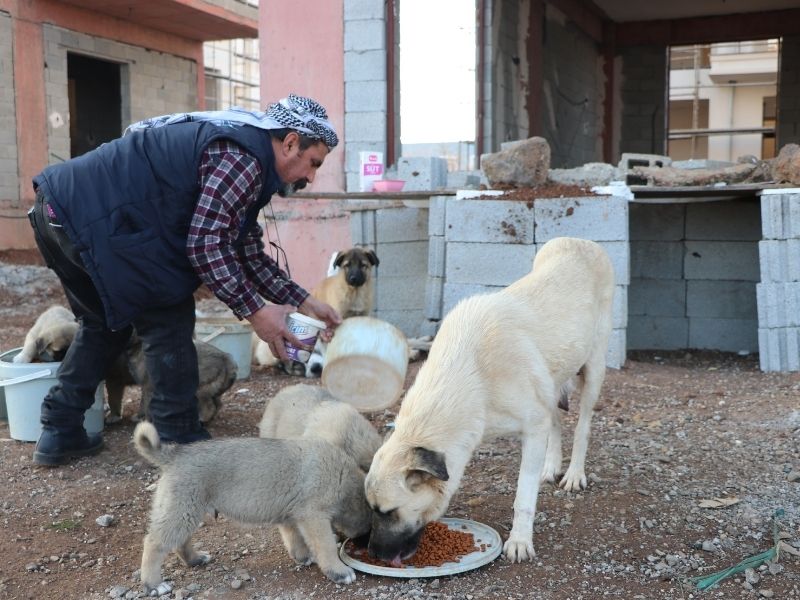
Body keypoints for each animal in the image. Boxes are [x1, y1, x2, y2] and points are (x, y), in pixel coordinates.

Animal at [134, 418, 372, 592]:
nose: (369, 548)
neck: (343, 477)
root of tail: (175, 454)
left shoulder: (290, 516)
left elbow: (295, 538)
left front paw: (303, 556)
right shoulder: (315, 517)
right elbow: (326, 545)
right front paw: (339, 571)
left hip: (186, 510)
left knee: (179, 540)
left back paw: (195, 559)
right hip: (182, 510)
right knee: (153, 543)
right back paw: (153, 584)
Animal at [366, 237, 616, 564]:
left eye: (389, 512)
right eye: (371, 510)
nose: (372, 553)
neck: (471, 376)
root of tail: (580, 241)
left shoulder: (533, 427)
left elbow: (524, 496)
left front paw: (520, 541)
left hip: (594, 370)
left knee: (582, 426)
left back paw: (574, 474)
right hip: (551, 383)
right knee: (557, 424)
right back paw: (550, 467)